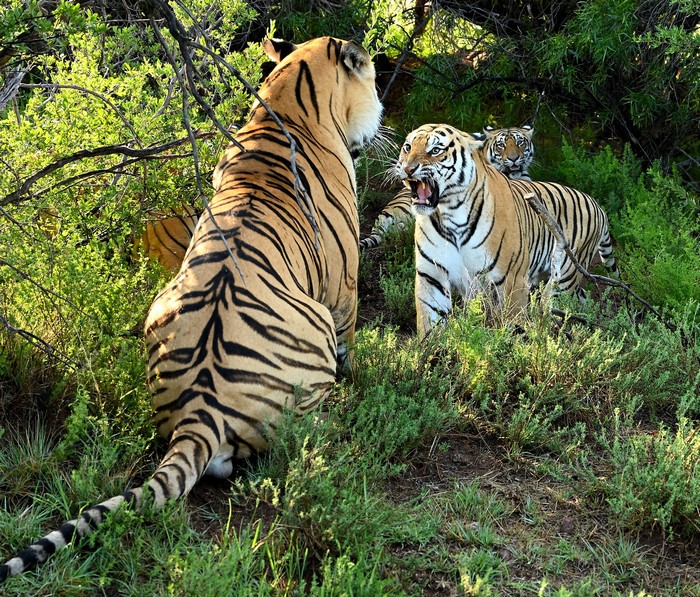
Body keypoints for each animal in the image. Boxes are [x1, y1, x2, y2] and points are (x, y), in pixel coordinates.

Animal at [395, 123, 616, 336]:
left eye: (435, 150)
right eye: (407, 147)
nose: (407, 169)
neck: (450, 213)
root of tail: (598, 205)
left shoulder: (511, 278)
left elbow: (515, 323)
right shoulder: (431, 274)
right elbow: (430, 320)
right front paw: (432, 347)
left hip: (564, 278)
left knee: (555, 311)